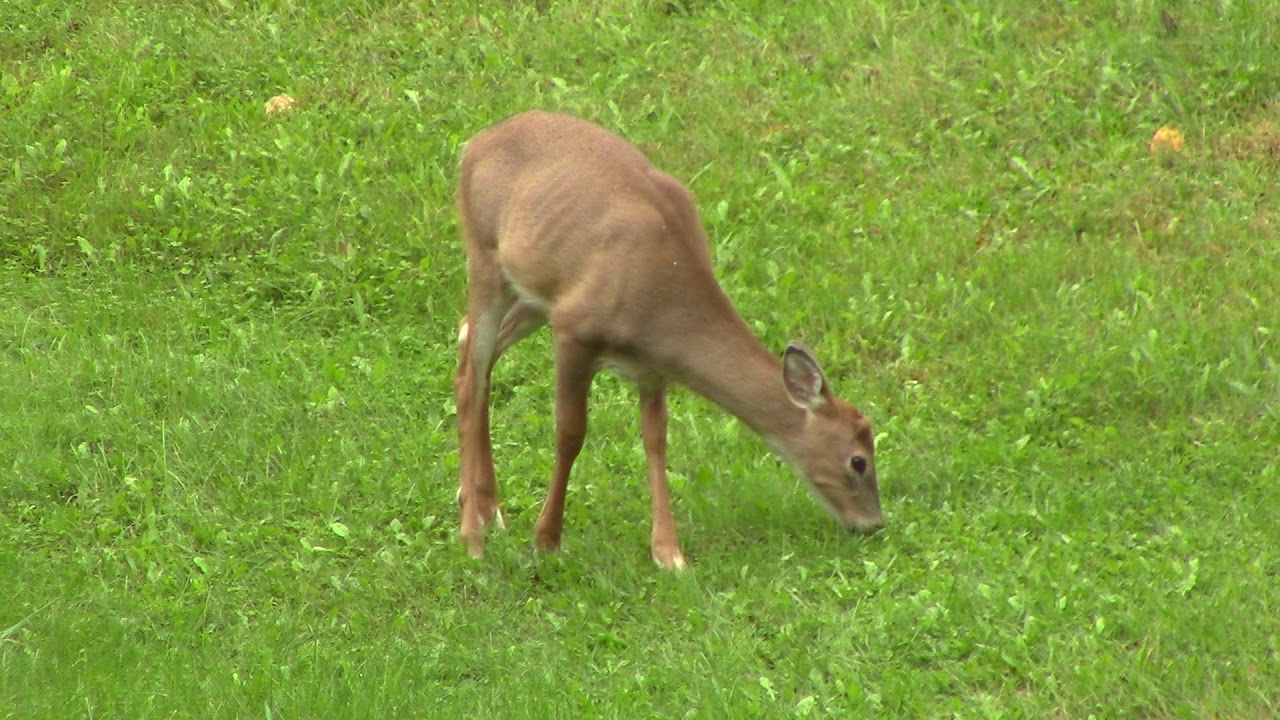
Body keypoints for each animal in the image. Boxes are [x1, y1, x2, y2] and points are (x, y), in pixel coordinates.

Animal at [453, 110, 883, 570]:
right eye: (858, 461)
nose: (874, 524)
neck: (661, 299)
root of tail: (475, 143)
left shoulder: (652, 367)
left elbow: (656, 440)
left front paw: (668, 553)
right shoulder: (574, 330)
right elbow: (570, 433)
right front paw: (546, 538)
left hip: (532, 294)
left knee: (470, 346)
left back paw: (486, 504)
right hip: (484, 255)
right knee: (472, 373)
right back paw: (472, 536)